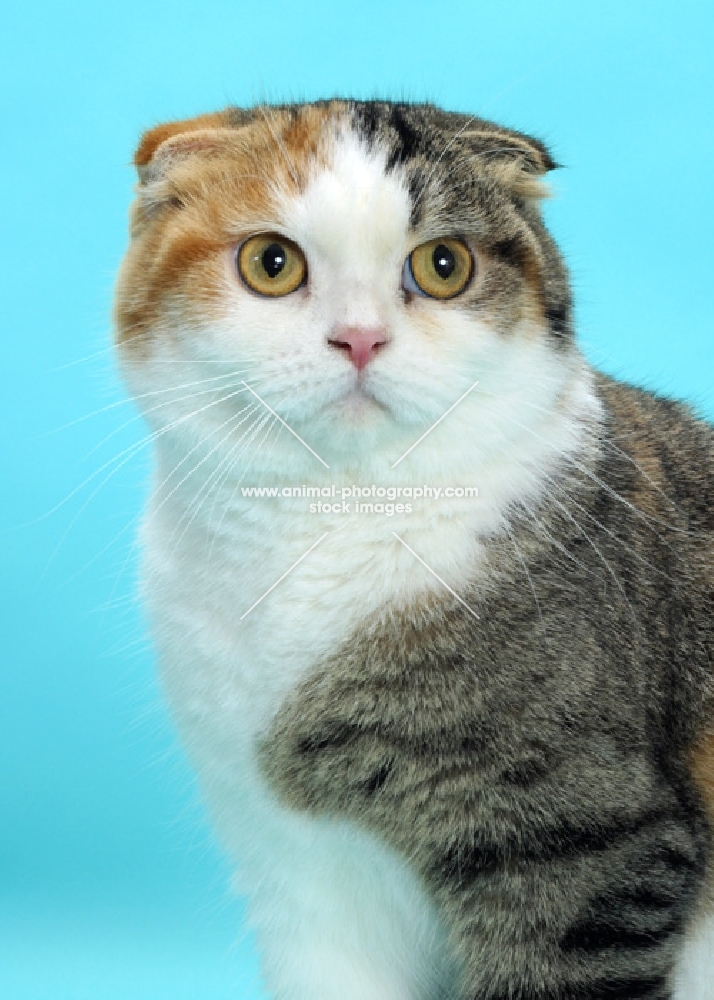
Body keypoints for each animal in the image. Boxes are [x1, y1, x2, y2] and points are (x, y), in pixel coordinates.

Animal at [114, 95, 708, 1000]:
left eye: (442, 265)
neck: (332, 520)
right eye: (272, 263)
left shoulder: (584, 846)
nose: (359, 338)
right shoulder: (294, 869)